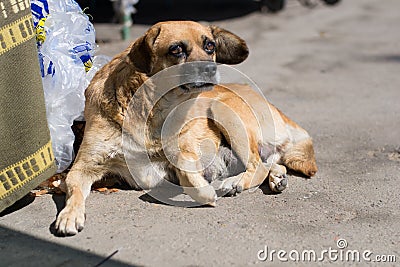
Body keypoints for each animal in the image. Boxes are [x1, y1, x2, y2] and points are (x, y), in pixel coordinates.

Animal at [55, 22, 316, 238]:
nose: (210, 69)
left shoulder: (186, 148)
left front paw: (205, 191)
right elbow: (74, 190)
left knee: (256, 165)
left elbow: (184, 168)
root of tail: (278, 111)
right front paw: (69, 215)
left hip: (223, 112)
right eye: (176, 49)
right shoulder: (83, 167)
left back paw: (233, 183)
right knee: (269, 163)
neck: (151, 110)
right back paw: (276, 178)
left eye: (210, 45)